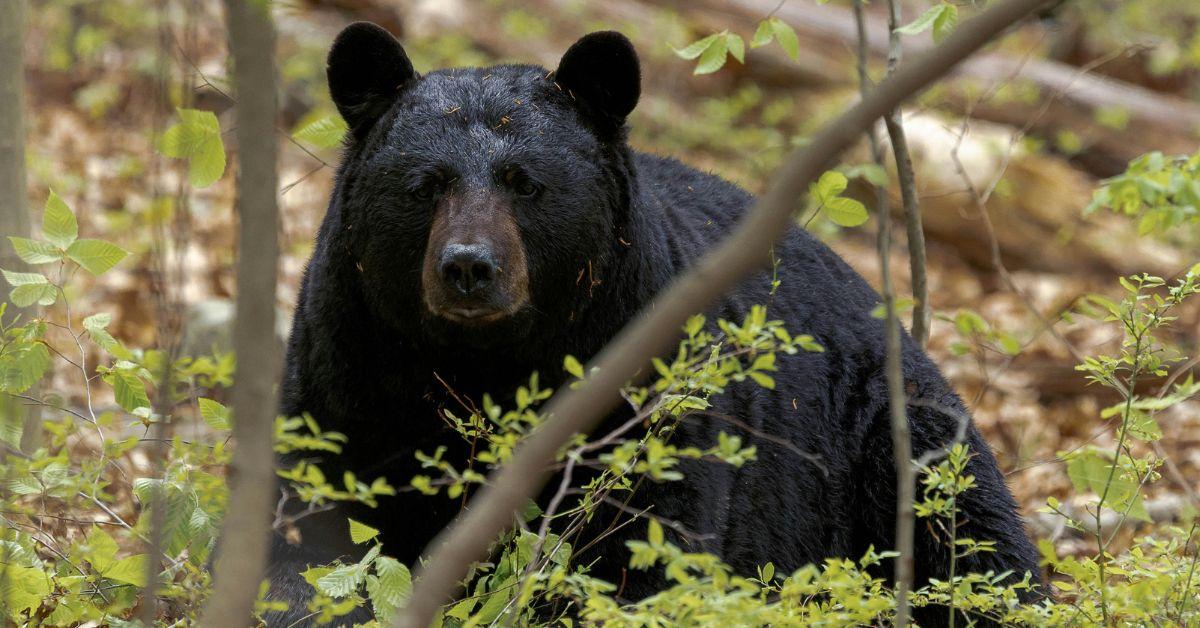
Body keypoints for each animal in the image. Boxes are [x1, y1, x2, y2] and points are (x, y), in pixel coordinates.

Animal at [264, 21, 1041, 626]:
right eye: (425, 185)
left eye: (524, 182)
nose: (468, 267)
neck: (484, 362)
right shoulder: (350, 367)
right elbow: (313, 534)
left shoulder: (644, 387)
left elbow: (642, 548)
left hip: (887, 441)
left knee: (971, 543)